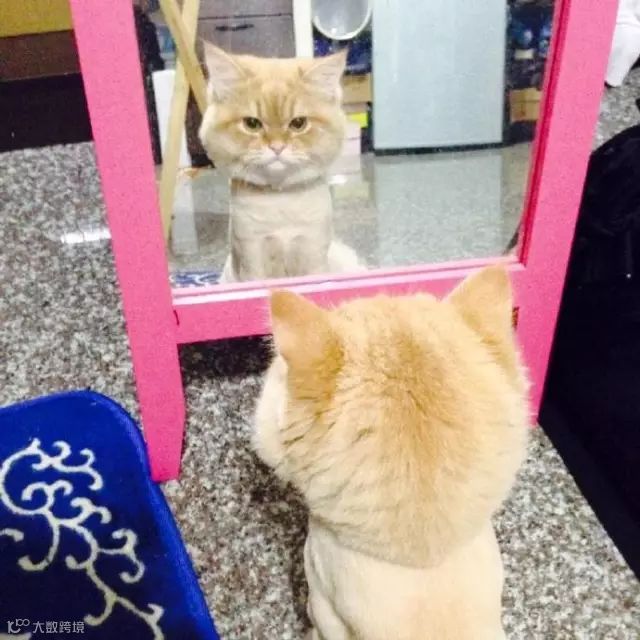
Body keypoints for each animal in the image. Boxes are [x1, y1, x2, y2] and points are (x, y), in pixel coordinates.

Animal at [198, 43, 364, 283]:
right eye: (252, 123)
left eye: (298, 123)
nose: (277, 147)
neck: (281, 200)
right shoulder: (251, 254)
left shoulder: (312, 250)